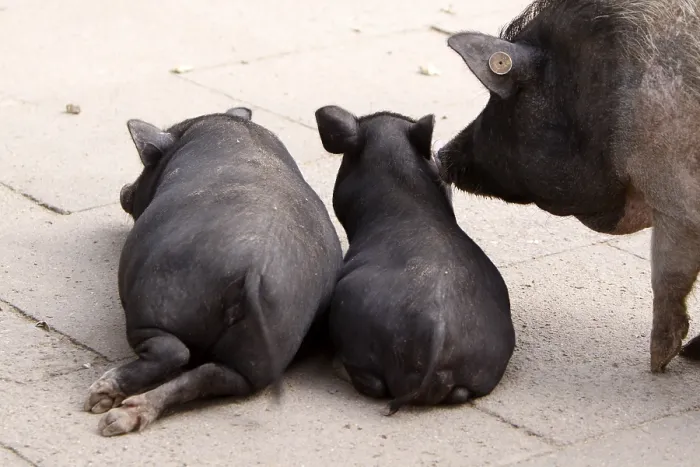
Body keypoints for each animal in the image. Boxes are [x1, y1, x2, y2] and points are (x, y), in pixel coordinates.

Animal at [84, 107, 343, 436]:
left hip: (158, 301)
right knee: (207, 377)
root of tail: (252, 271)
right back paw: (123, 415)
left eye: (148, 163)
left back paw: (101, 401)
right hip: (262, 350)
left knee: (173, 353)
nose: (124, 190)